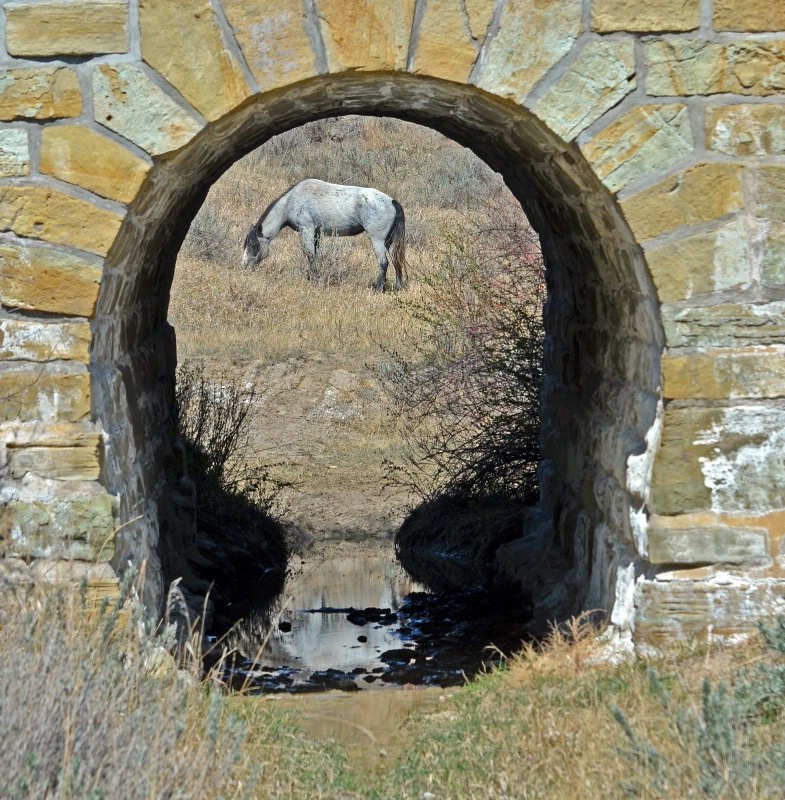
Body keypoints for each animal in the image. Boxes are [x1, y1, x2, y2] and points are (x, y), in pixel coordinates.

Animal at [242, 178, 408, 290]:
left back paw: (378, 289)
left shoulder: (307, 230)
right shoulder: (316, 234)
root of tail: (392, 201)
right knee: (396, 262)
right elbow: (315, 256)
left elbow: (311, 256)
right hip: (389, 241)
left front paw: (314, 280)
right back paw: (398, 287)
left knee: (383, 263)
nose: (244, 265)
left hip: (377, 240)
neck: (291, 201)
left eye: (253, 245)